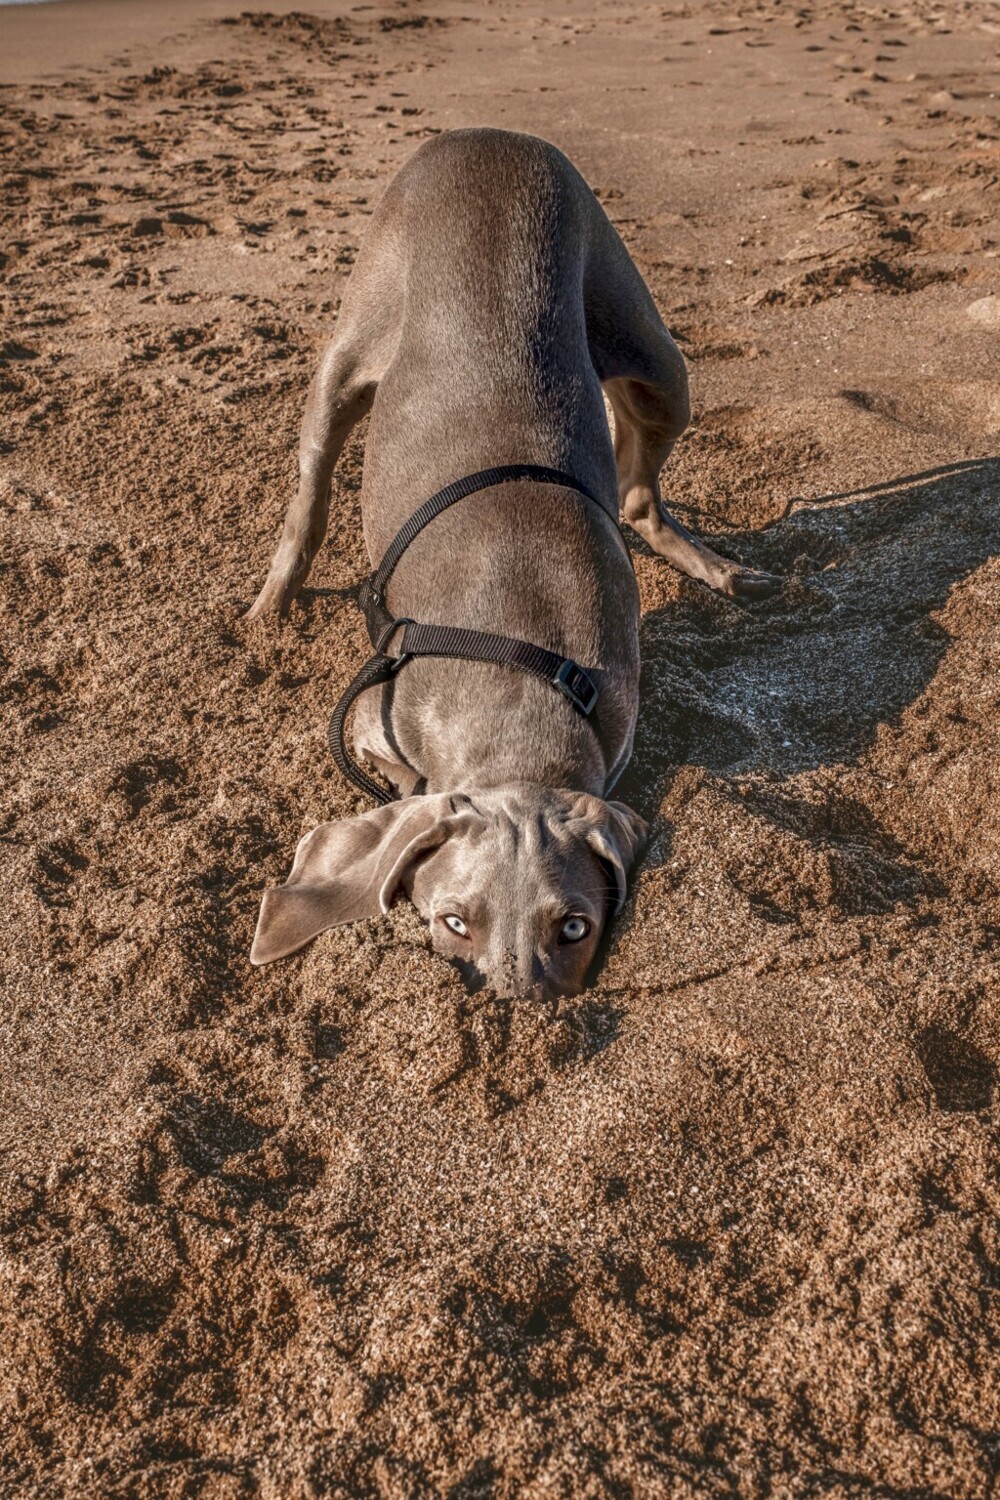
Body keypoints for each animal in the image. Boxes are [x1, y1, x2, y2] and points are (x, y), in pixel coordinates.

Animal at [245, 126, 779, 996]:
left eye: (575, 927)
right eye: (453, 921)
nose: (520, 1007)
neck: (518, 691)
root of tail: (485, 134)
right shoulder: (366, 715)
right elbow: (404, 785)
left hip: (657, 361)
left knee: (638, 496)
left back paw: (725, 571)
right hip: (349, 354)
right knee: (311, 493)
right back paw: (272, 602)